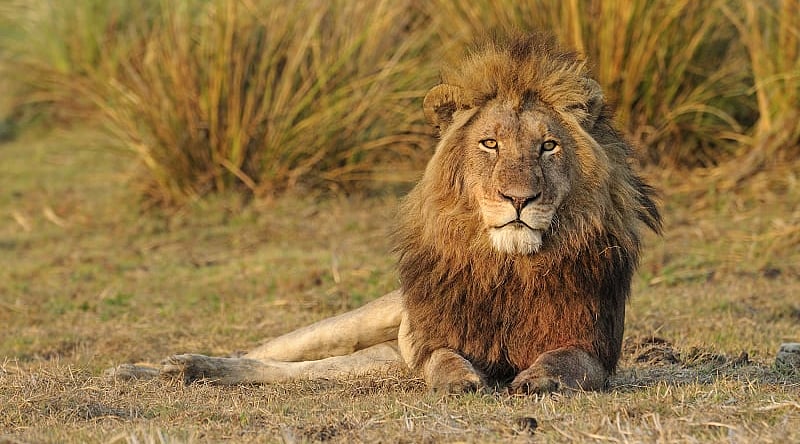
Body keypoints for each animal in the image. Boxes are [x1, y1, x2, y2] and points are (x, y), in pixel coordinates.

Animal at [108, 33, 661, 394]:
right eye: (490, 143)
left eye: (548, 146)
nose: (518, 199)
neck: (507, 268)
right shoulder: (429, 341)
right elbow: (441, 359)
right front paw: (461, 380)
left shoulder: (593, 344)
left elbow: (566, 362)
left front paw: (536, 378)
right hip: (360, 325)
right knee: (263, 353)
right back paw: (155, 368)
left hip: (380, 356)